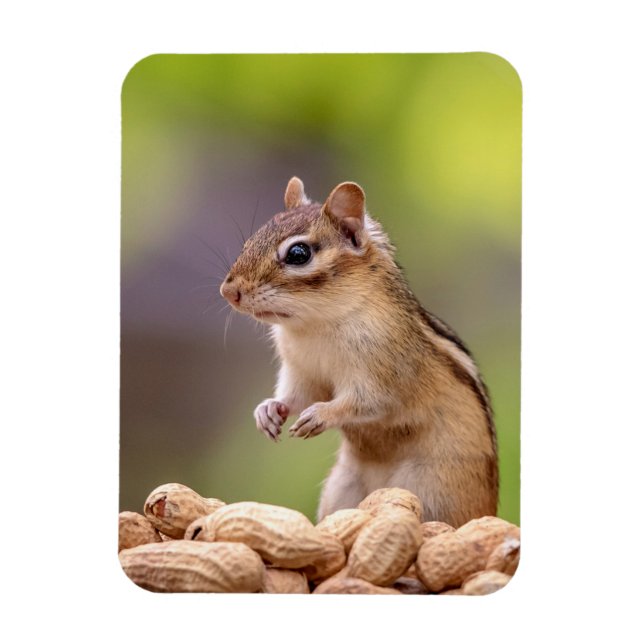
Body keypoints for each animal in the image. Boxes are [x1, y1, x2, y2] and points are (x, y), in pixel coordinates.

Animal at [220, 177, 498, 527]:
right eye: (249, 242)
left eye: (298, 253)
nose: (228, 291)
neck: (315, 325)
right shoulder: (302, 372)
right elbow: (297, 396)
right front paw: (268, 410)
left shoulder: (385, 371)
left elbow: (368, 402)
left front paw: (321, 415)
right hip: (342, 488)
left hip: (432, 491)